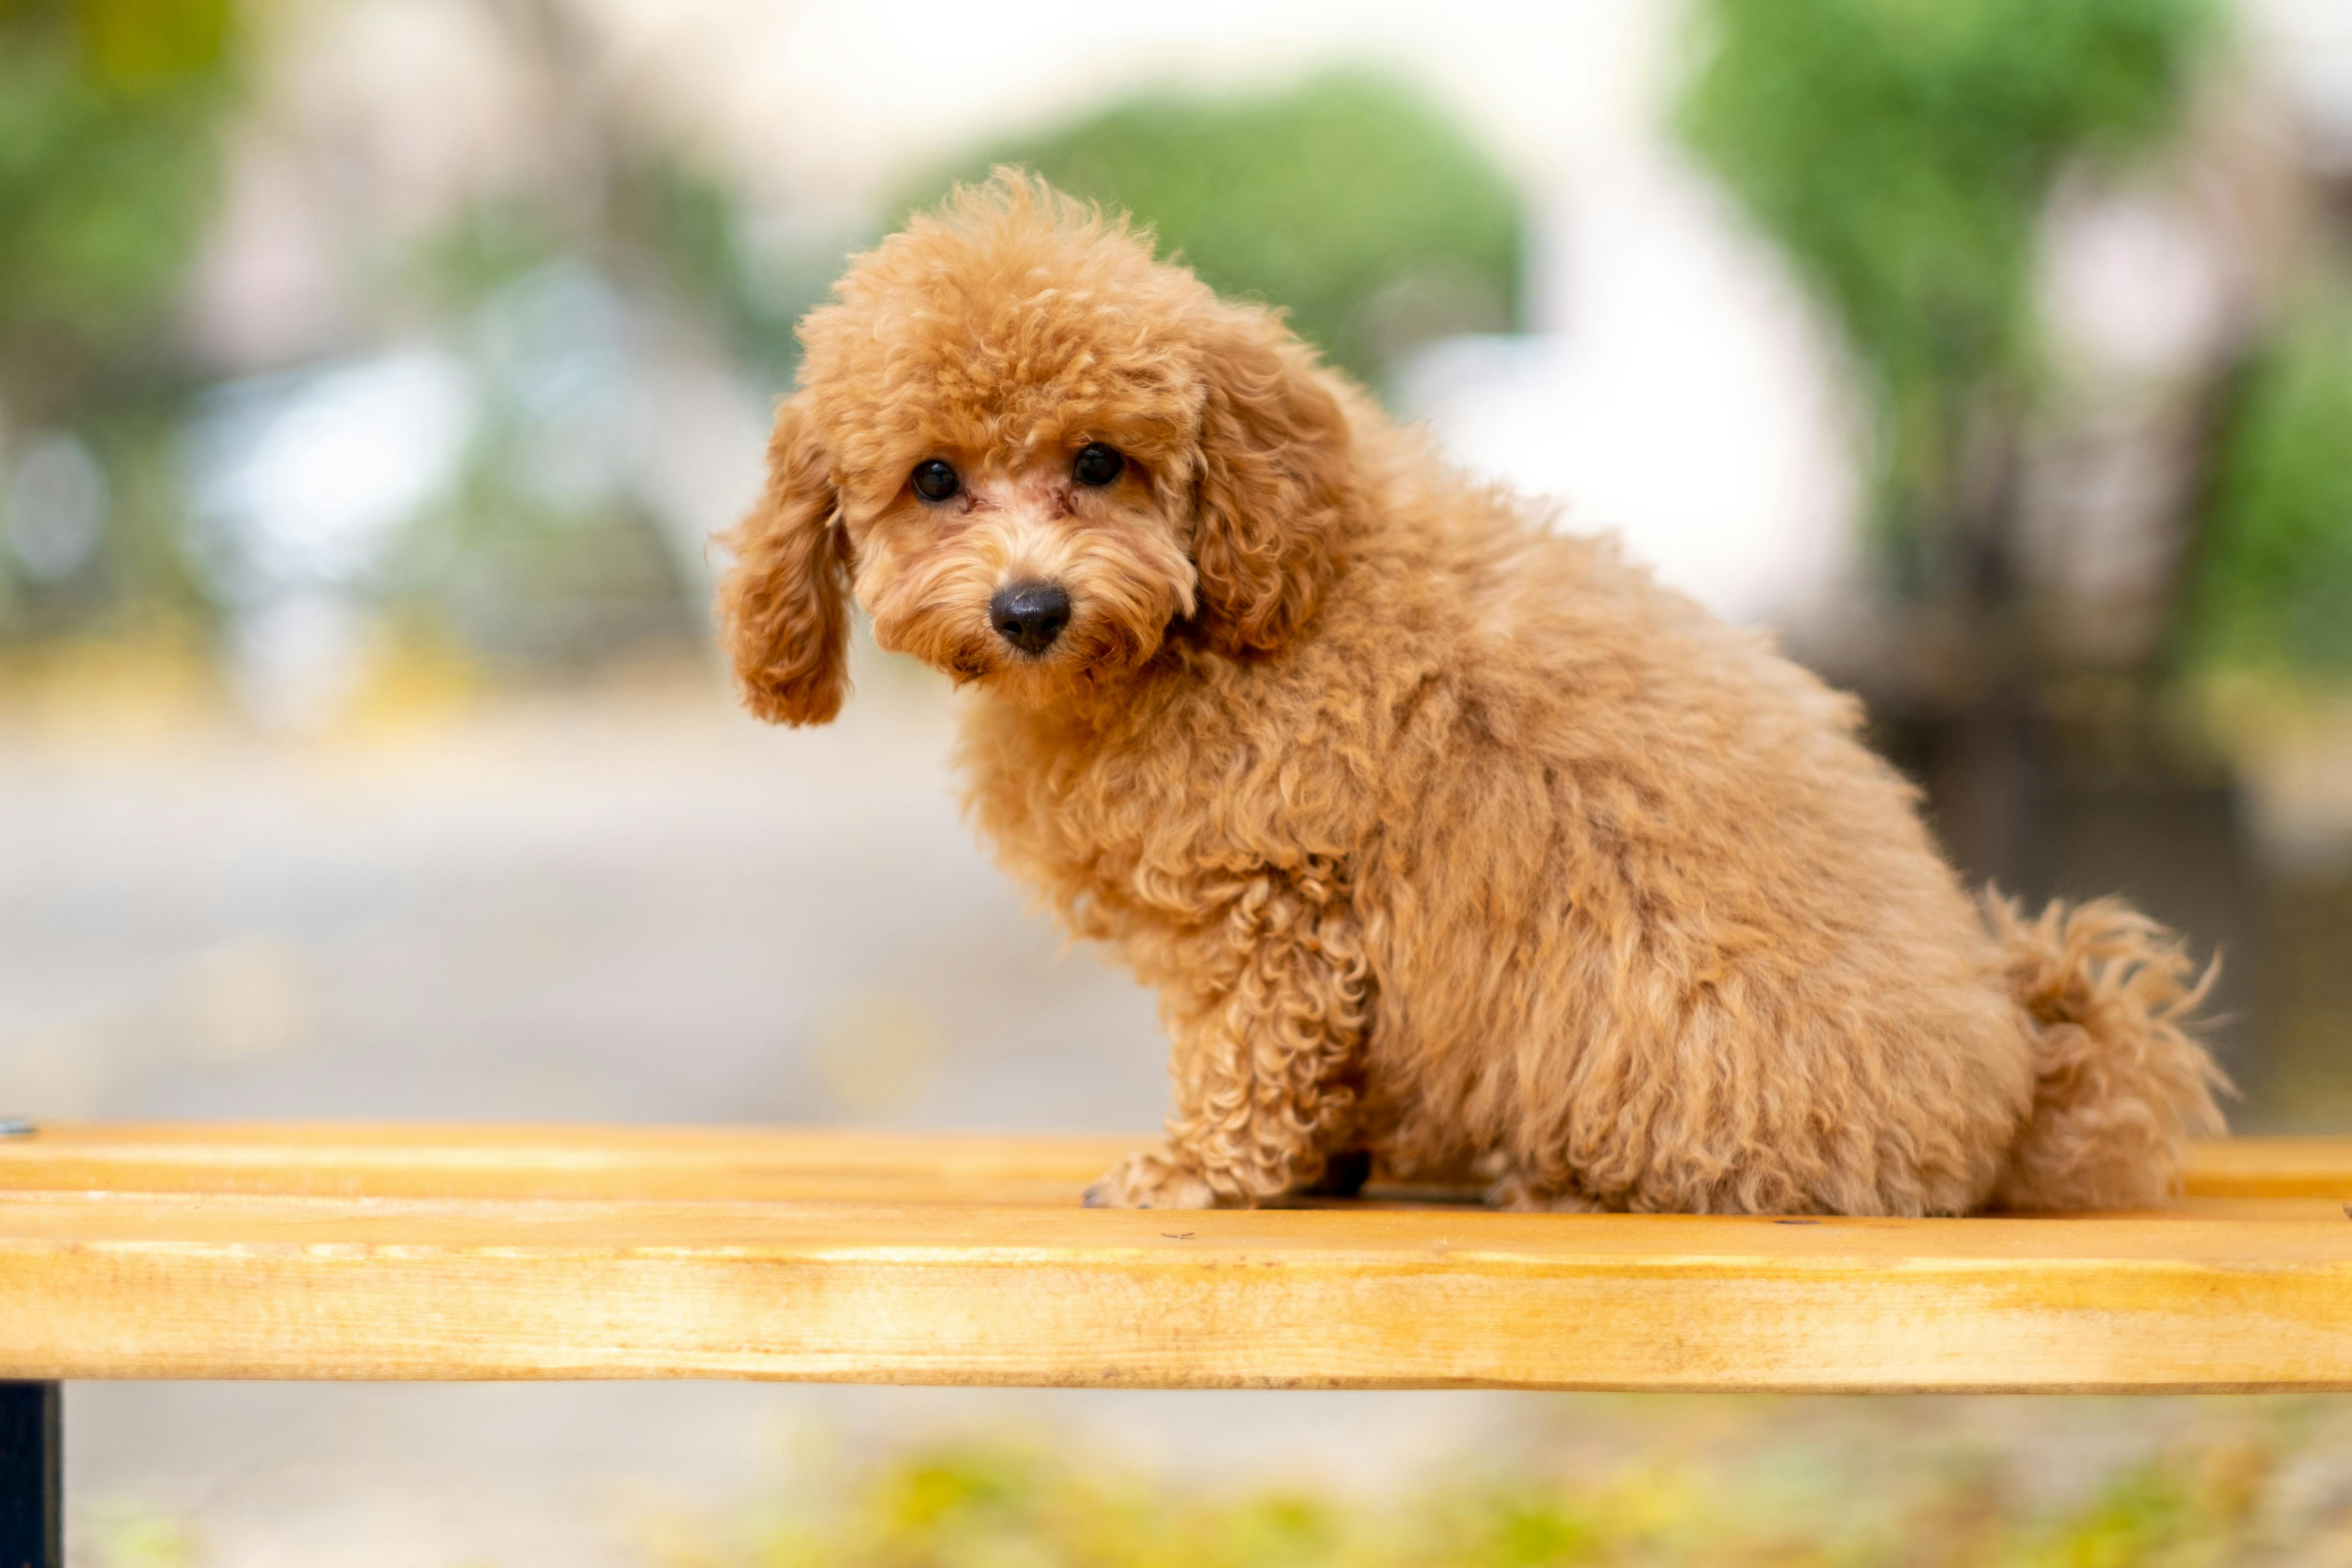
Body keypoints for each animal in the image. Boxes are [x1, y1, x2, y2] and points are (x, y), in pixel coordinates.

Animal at [715, 177, 2220, 1222]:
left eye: (1098, 461)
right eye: (933, 480)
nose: (1030, 608)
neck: (1202, 623)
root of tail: (2014, 1079)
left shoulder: (1273, 900)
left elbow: (1250, 1054)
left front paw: (1201, 1174)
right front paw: (1318, 1167)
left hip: (1663, 1034)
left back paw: (1557, 1184)